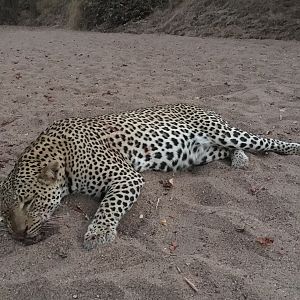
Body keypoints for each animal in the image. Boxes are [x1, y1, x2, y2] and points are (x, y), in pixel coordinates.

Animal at [0, 104, 298, 250]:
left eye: (29, 202)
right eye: (4, 213)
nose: (19, 234)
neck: (60, 154)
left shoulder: (126, 176)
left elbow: (108, 206)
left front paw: (98, 233)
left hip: (223, 131)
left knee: (262, 141)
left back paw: (292, 147)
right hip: (201, 152)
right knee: (227, 150)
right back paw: (239, 159)